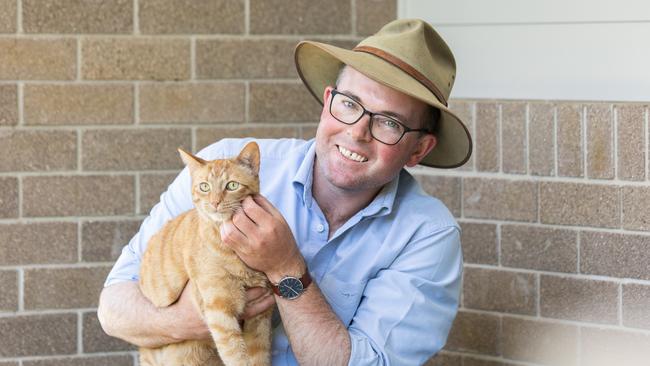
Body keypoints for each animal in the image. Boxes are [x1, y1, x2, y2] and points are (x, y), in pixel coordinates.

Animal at [140, 142, 272, 366]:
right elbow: (236, 356)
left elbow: (258, 357)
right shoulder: (220, 311)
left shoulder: (261, 318)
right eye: (204, 187)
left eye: (232, 185)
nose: (215, 202)